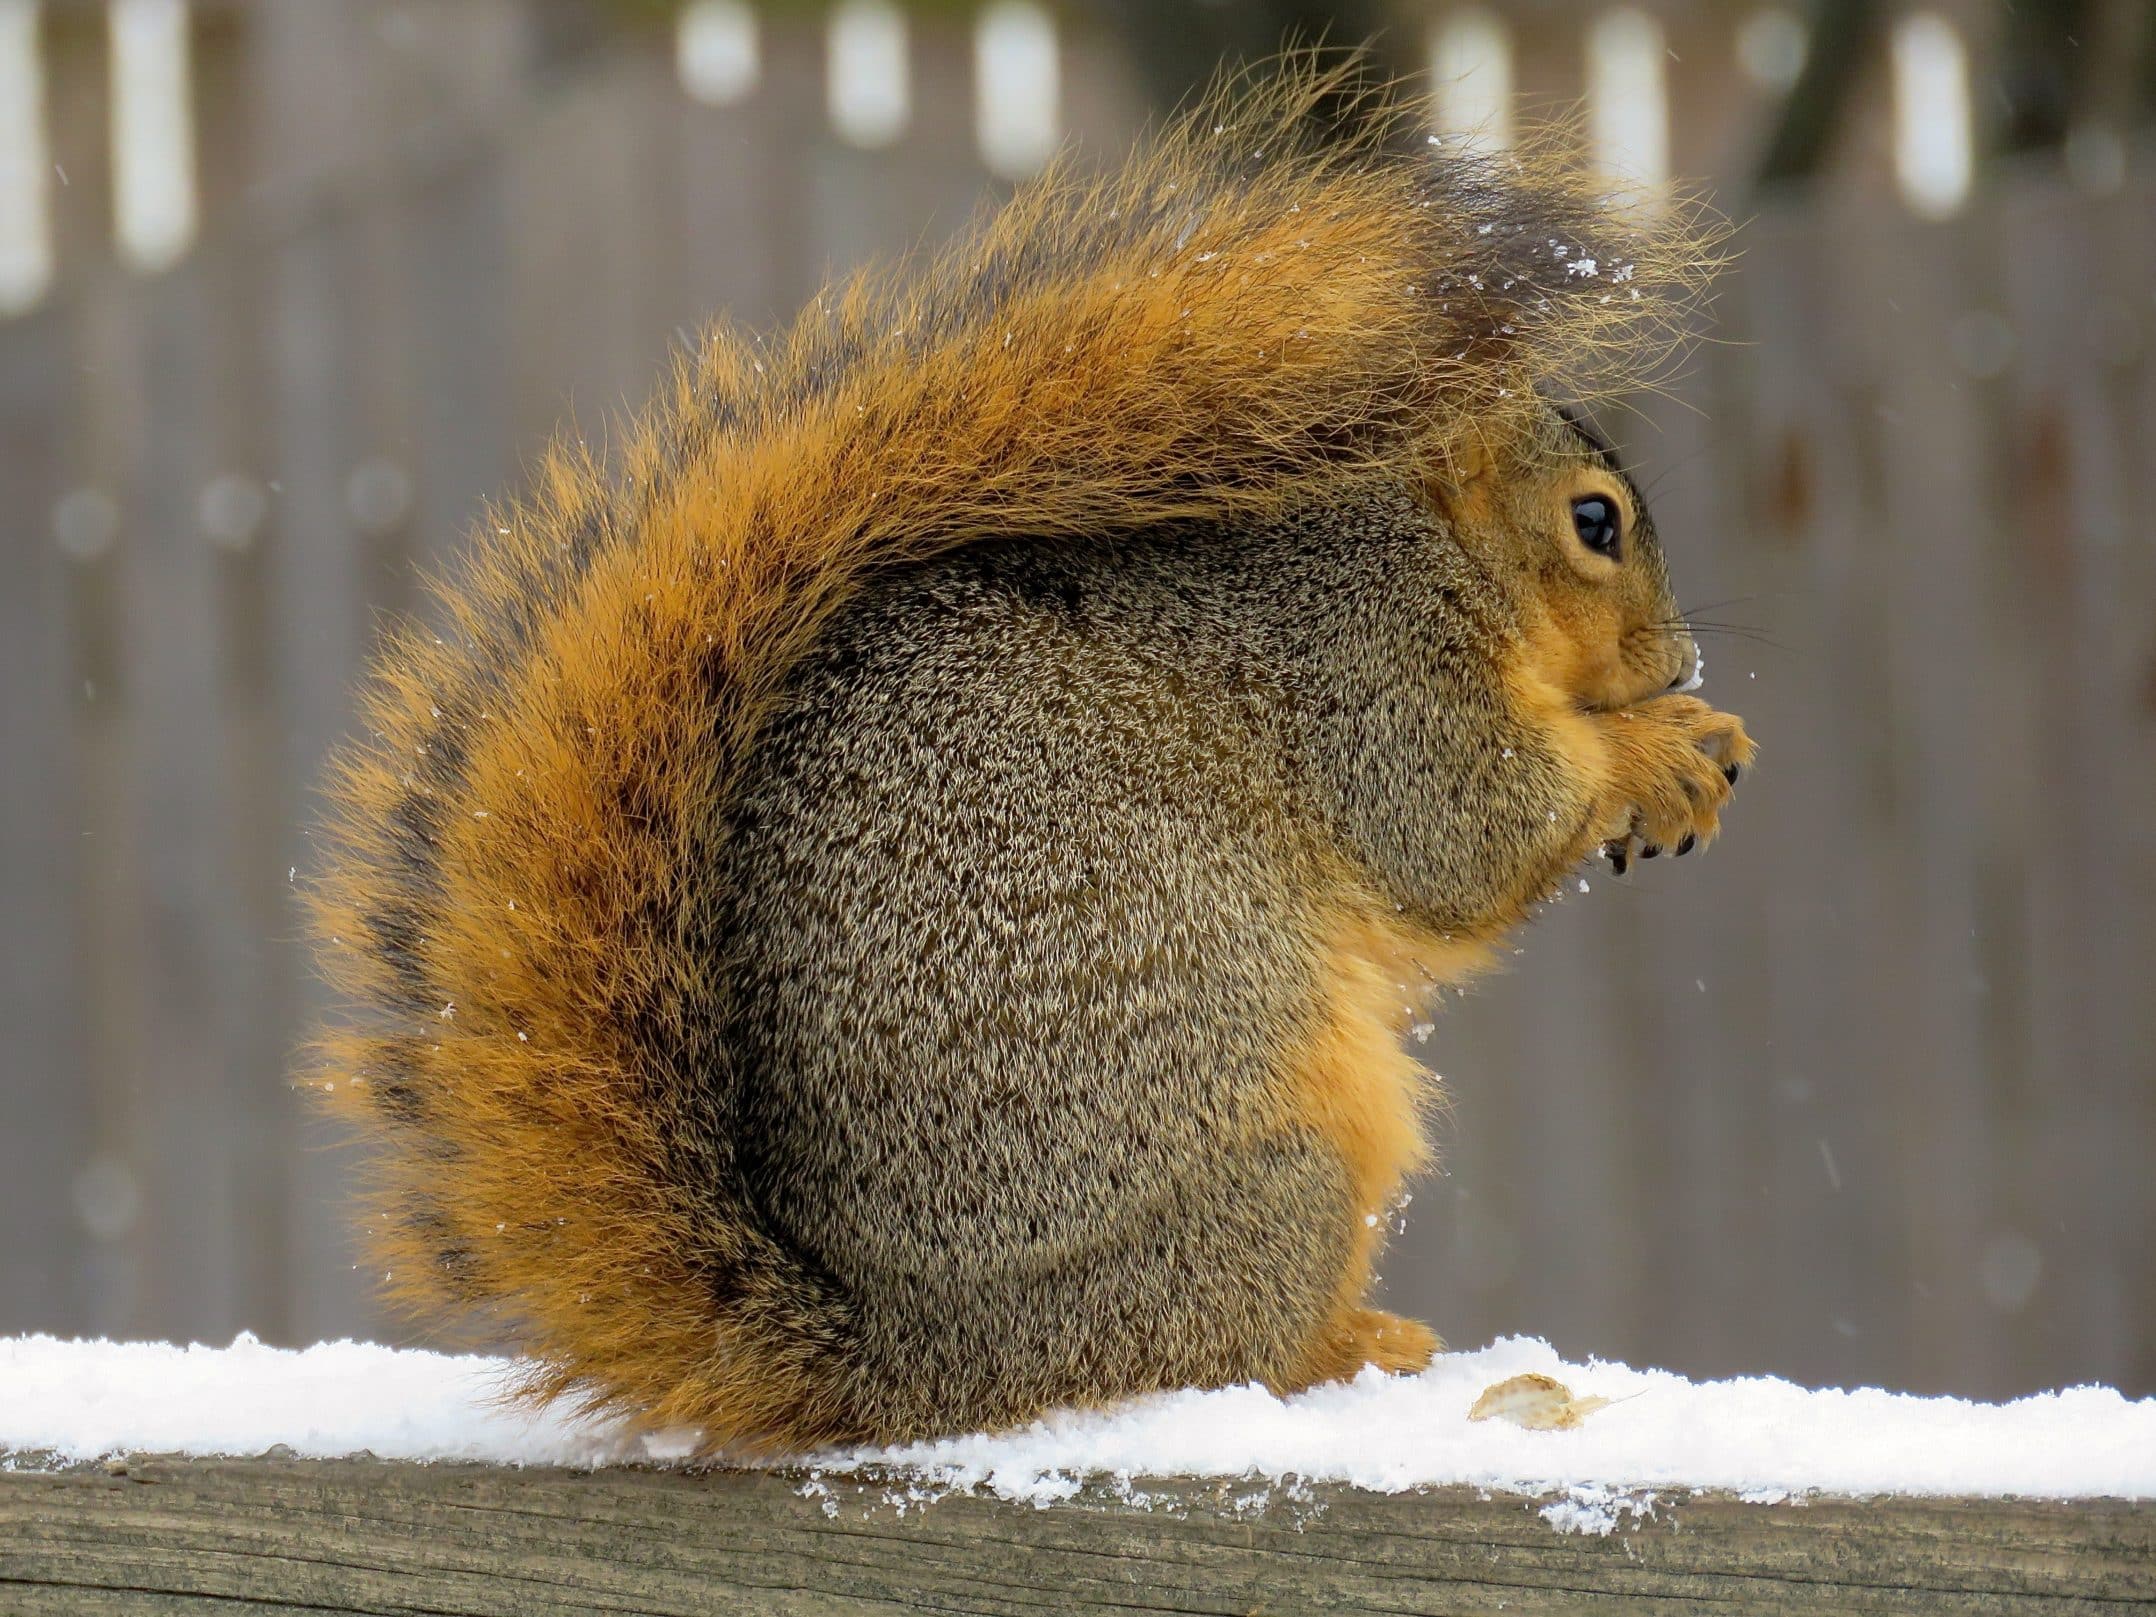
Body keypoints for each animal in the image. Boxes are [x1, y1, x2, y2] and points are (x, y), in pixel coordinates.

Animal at [308, 63, 1750, 1457]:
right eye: (1594, 523)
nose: (1682, 663)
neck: (1428, 542)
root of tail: (915, 1363)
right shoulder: (1370, 669)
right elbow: (1463, 831)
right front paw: (1662, 754)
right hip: (1269, 1179)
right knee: (1209, 1347)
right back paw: (1351, 1342)